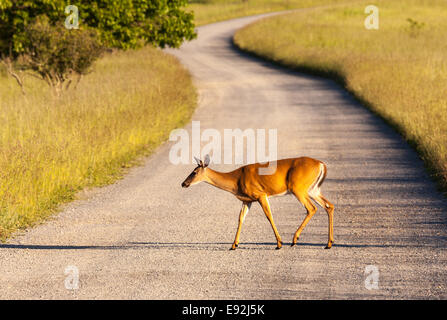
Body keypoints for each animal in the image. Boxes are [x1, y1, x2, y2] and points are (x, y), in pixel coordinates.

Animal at [183, 155, 336, 250]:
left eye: (194, 172)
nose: (183, 183)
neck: (236, 181)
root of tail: (321, 165)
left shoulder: (260, 194)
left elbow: (269, 216)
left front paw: (279, 243)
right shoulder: (247, 200)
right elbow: (240, 219)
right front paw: (234, 245)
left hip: (298, 188)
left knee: (312, 208)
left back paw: (294, 240)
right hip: (313, 189)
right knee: (329, 206)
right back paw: (328, 243)